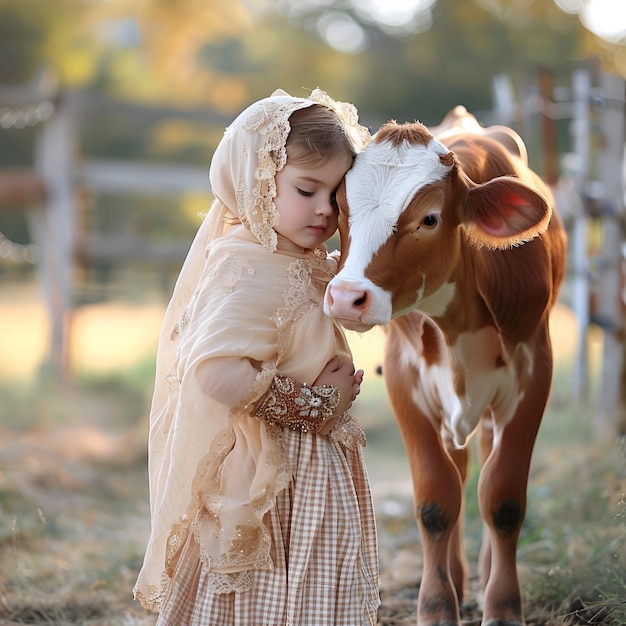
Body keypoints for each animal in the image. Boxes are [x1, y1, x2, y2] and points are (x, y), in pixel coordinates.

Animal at [324, 108, 568, 624]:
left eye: (430, 218)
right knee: (457, 471)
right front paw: (437, 605)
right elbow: (436, 499)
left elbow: (503, 497)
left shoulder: (534, 373)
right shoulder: (404, 380)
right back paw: (455, 575)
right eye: (339, 204)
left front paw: (503, 605)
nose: (346, 298)